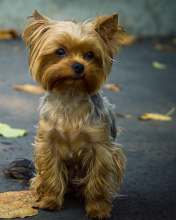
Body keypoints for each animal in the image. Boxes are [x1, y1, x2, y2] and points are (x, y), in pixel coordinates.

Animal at [4, 9, 126, 218]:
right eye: (60, 51)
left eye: (90, 54)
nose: (79, 66)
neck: (70, 95)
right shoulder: (48, 146)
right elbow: (52, 176)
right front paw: (51, 202)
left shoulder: (101, 149)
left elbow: (97, 181)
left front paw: (97, 209)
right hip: (41, 173)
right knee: (40, 180)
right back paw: (41, 195)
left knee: (84, 185)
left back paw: (82, 195)